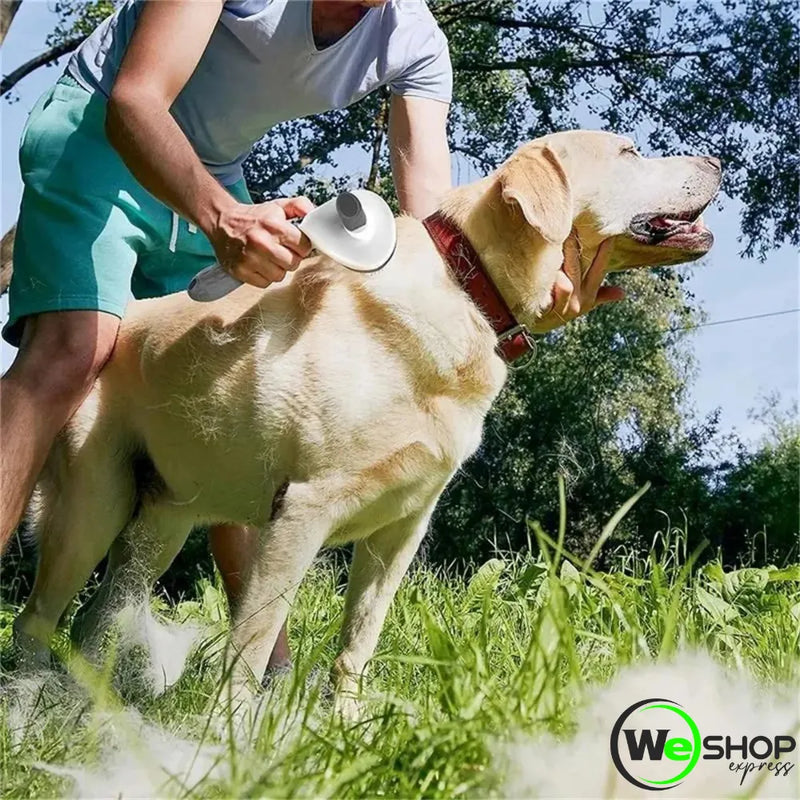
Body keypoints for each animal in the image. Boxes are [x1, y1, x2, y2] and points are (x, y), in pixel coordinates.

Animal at [14, 130, 724, 708]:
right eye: (631, 153)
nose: (716, 161)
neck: (468, 286)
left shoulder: (401, 529)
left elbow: (356, 645)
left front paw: (346, 726)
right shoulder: (300, 513)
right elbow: (251, 647)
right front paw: (232, 742)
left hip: (157, 529)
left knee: (96, 623)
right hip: (91, 509)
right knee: (37, 619)